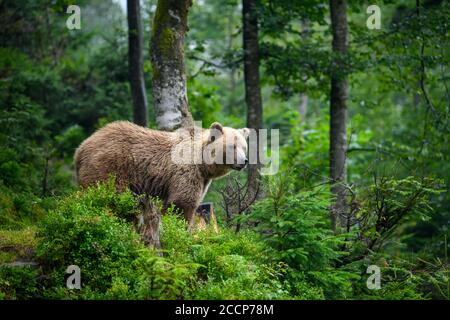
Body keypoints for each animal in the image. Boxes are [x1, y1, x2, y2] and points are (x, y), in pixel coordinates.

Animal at [74, 120, 250, 225]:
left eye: (244, 147)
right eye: (232, 146)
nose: (244, 161)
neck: (202, 163)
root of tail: (80, 149)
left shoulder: (202, 178)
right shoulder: (185, 172)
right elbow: (182, 203)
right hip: (110, 167)